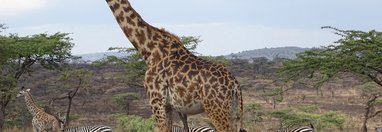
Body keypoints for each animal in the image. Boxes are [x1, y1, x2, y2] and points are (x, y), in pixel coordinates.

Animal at [104, 0, 246, 131]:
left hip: (216, 108)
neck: (150, 50)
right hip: (232, 110)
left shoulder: (155, 100)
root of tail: (234, 84)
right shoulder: (167, 105)